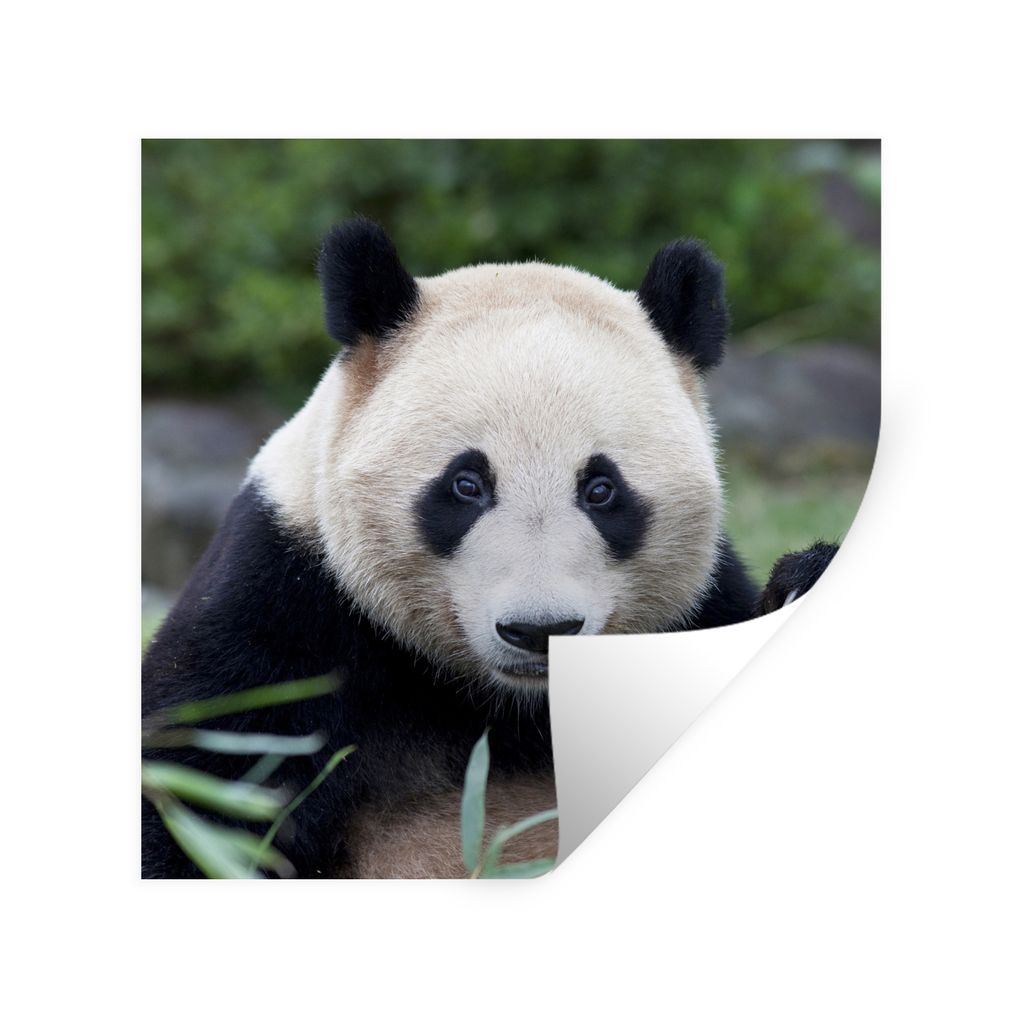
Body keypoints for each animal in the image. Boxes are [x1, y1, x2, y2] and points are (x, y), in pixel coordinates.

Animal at [142, 218, 837, 878]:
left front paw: (804, 579)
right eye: (466, 485)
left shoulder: (695, 608)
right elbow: (192, 799)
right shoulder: (281, 618)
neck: (506, 706)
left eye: (602, 489)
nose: (540, 630)